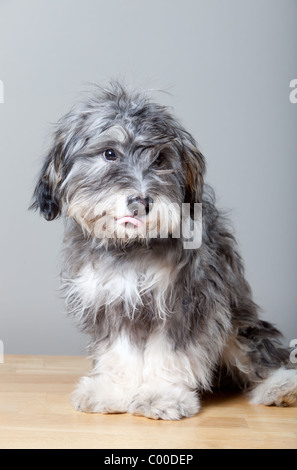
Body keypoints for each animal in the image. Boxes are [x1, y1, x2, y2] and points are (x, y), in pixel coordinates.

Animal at [30, 81, 296, 418]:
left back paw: (280, 386)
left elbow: (170, 352)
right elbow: (120, 353)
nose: (141, 202)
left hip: (239, 324)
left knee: (263, 354)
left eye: (160, 160)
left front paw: (161, 395)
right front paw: (115, 391)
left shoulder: (185, 301)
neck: (130, 247)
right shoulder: (115, 301)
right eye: (109, 153)